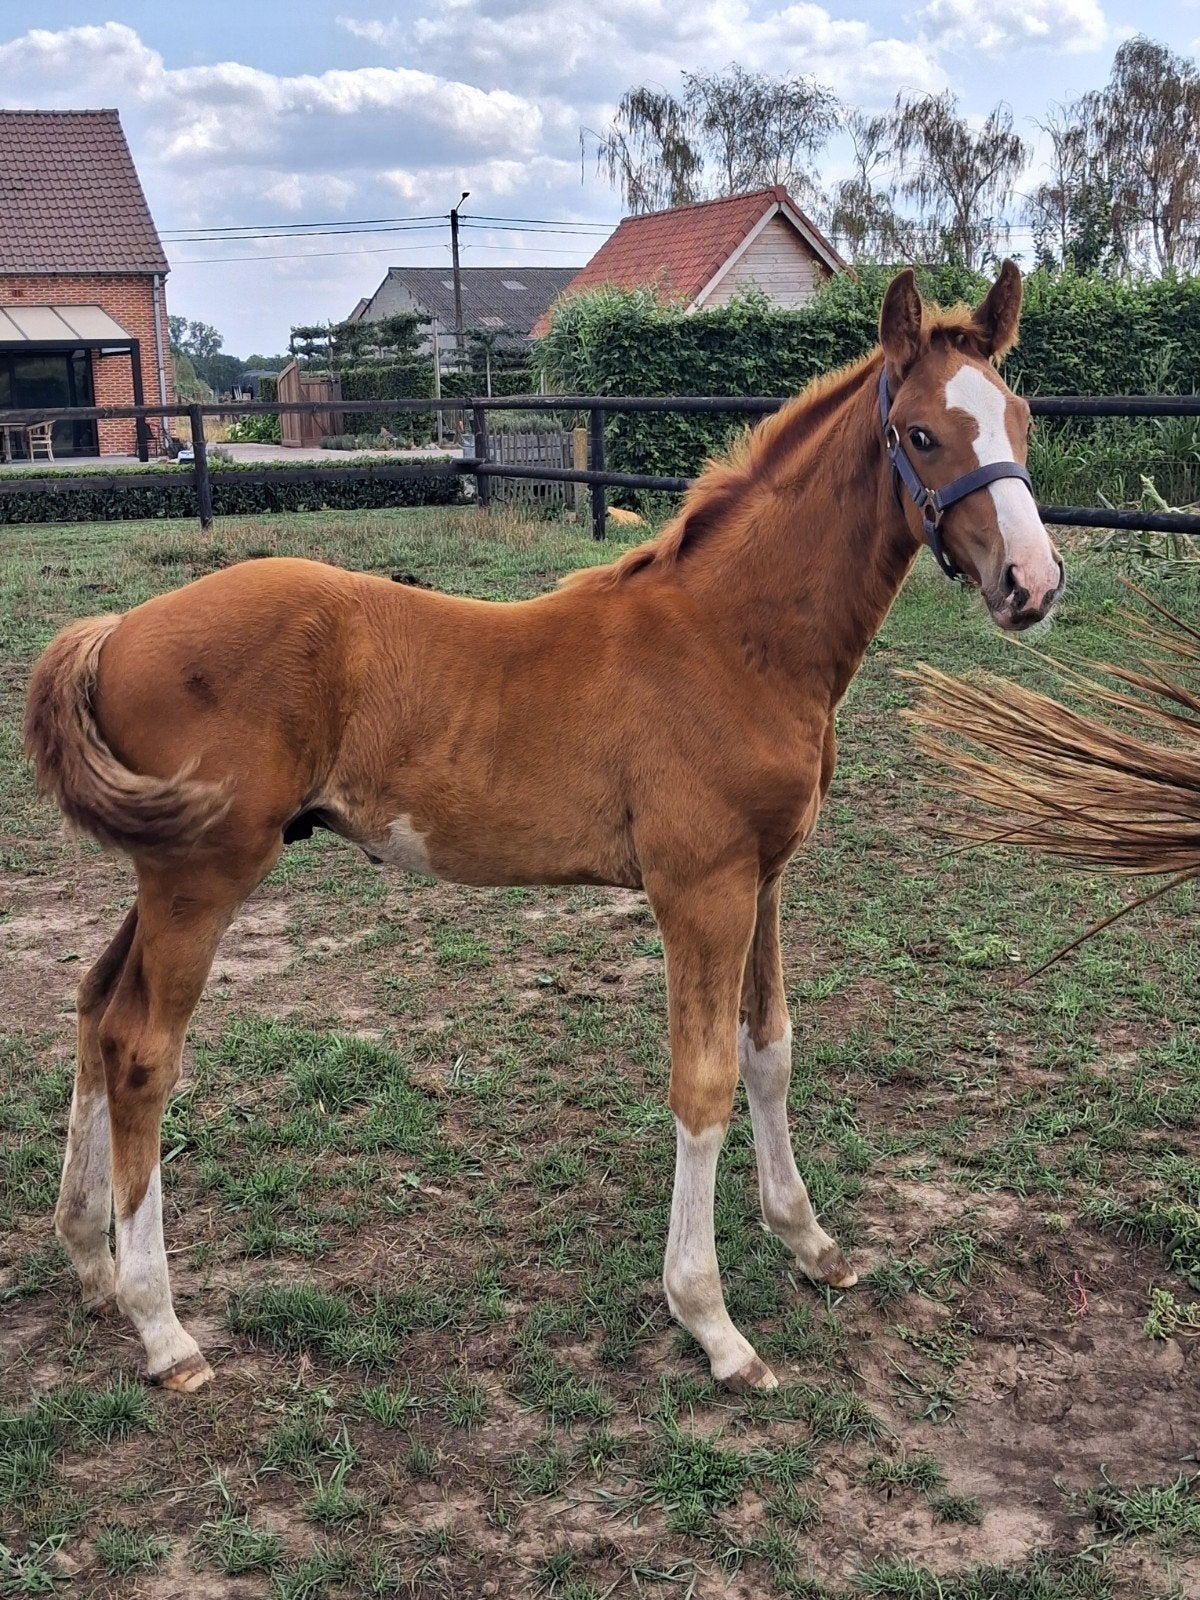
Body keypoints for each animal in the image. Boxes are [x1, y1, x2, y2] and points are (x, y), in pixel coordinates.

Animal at [24, 263, 1063, 1395]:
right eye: (921, 434)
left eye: (1019, 416)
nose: (1033, 582)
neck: (733, 637)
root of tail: (114, 629)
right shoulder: (700, 887)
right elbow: (701, 1082)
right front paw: (712, 1322)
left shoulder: (765, 876)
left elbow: (770, 1051)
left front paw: (807, 1240)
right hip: (203, 875)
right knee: (141, 1048)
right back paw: (163, 1327)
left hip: (165, 870)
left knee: (94, 1008)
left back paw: (88, 1259)